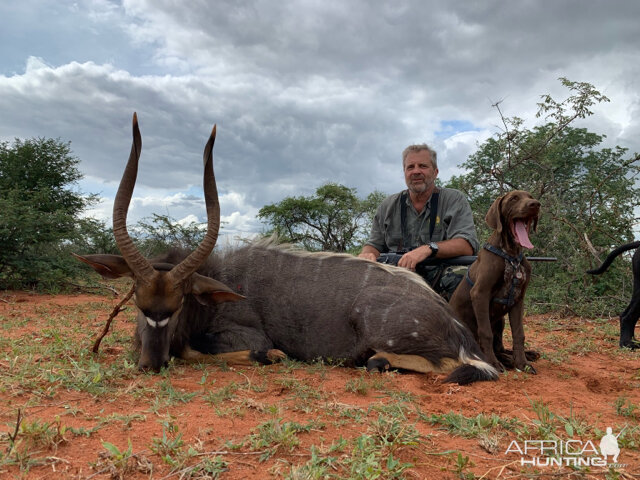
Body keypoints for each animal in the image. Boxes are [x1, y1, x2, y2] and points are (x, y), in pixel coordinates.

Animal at [76, 114, 500, 384]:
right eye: (136, 301)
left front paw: (272, 356)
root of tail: (458, 330)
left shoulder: (243, 336)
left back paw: (377, 360)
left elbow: (200, 350)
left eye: (178, 305)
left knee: (445, 365)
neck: (218, 283)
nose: (149, 363)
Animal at [450, 189, 540, 374]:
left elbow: (519, 334)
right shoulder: (480, 294)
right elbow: (486, 333)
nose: (535, 204)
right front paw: (493, 363)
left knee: (500, 348)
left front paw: (523, 363)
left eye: (530, 196)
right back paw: (503, 360)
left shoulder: (518, 299)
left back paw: (521, 356)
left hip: (501, 320)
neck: (511, 255)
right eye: (514, 198)